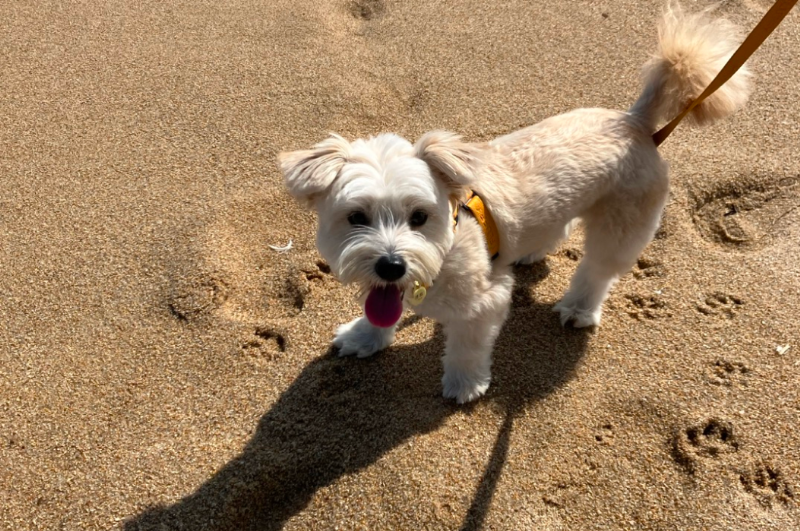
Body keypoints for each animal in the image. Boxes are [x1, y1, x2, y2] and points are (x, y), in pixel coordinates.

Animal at [280, 5, 752, 404]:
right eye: (356, 217)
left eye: (420, 217)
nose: (391, 265)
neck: (448, 249)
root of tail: (634, 121)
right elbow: (381, 313)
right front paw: (364, 337)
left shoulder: (485, 302)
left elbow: (467, 347)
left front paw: (464, 383)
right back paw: (530, 251)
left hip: (622, 226)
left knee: (598, 269)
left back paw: (579, 307)